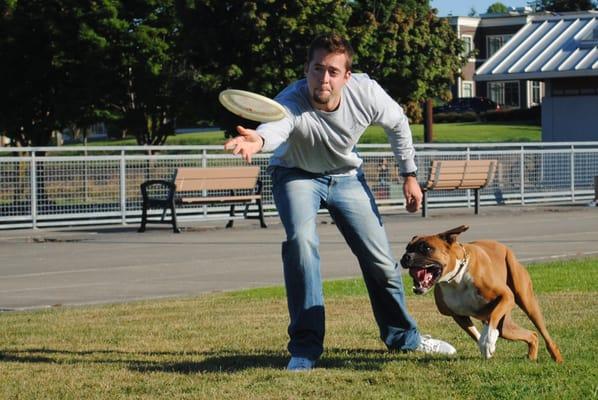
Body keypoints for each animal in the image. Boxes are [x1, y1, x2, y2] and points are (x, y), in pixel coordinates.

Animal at [400, 225, 564, 362]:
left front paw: (488, 342)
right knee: (532, 335)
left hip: (527, 302)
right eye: (407, 248)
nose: (406, 257)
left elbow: (492, 318)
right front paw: (486, 346)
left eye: (427, 248)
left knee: (542, 332)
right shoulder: (457, 315)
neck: (456, 278)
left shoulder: (506, 297)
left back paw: (556, 357)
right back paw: (531, 356)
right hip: (506, 328)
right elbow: (475, 333)